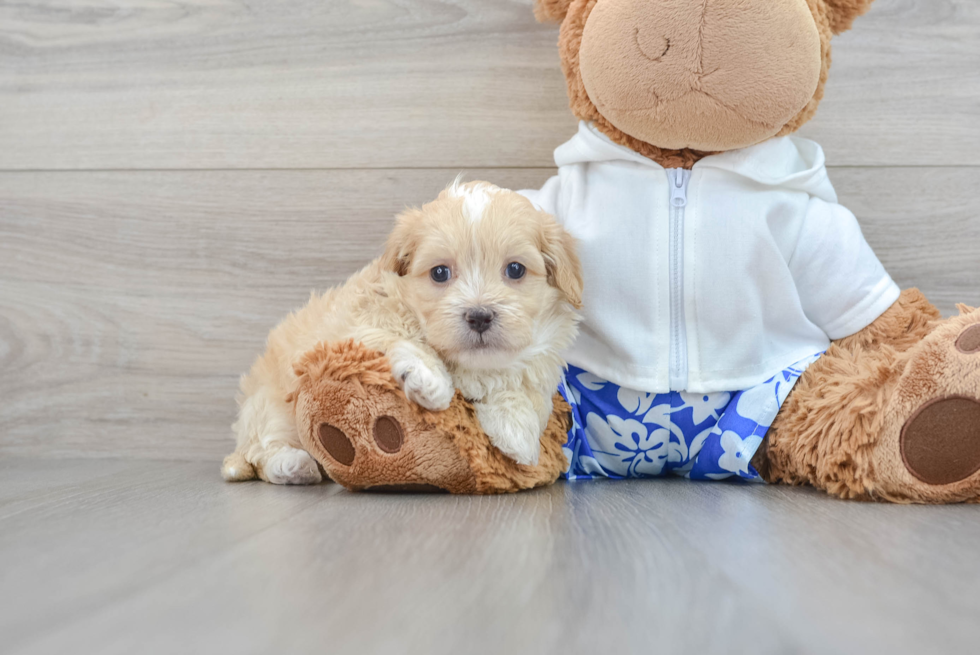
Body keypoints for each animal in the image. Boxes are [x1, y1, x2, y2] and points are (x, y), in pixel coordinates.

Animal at [222, 182, 580, 484]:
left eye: (515, 269)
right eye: (440, 273)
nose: (479, 316)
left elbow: (525, 385)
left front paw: (518, 429)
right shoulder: (352, 327)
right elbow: (397, 336)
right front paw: (430, 379)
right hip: (271, 406)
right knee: (261, 451)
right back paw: (293, 465)